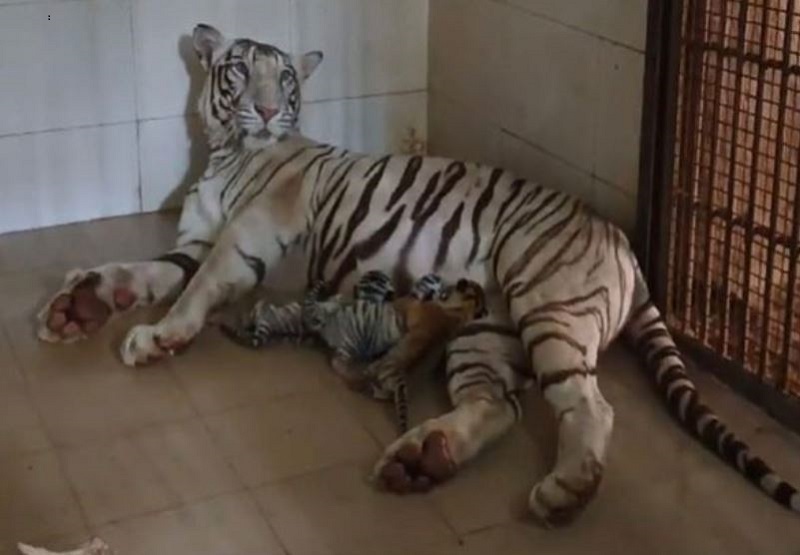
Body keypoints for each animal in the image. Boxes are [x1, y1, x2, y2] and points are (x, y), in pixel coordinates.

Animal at [36, 21, 800, 524]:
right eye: (240, 71)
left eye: (284, 78)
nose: (266, 107)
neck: (227, 149)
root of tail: (625, 242)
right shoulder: (194, 238)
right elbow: (140, 269)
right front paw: (78, 306)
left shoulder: (248, 234)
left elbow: (195, 288)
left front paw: (158, 336)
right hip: (485, 330)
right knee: (501, 404)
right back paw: (423, 457)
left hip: (548, 308)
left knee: (590, 405)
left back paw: (564, 491)